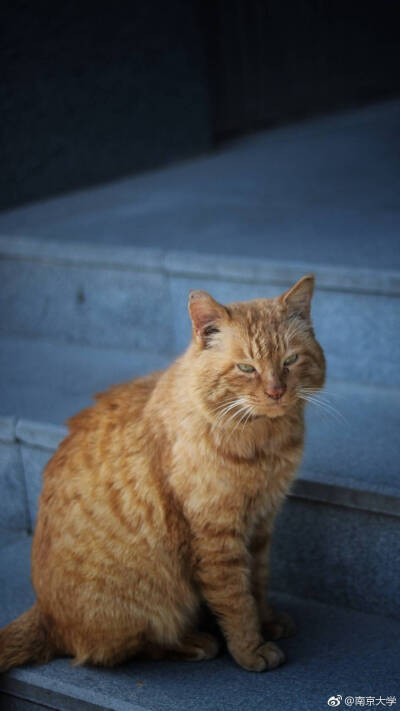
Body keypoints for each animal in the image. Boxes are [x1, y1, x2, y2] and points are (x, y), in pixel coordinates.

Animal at [0, 276, 324, 672]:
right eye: (246, 368)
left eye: (290, 360)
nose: (276, 391)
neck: (264, 438)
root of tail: (44, 613)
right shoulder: (217, 537)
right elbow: (236, 601)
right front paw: (251, 649)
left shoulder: (261, 525)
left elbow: (258, 585)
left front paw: (269, 622)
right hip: (151, 602)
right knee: (126, 649)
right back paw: (195, 642)